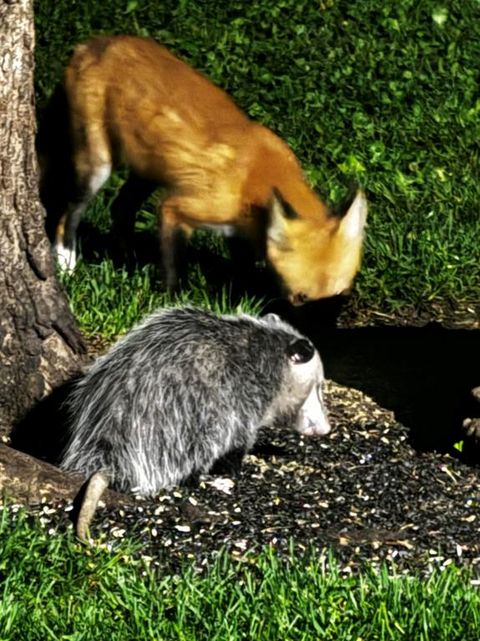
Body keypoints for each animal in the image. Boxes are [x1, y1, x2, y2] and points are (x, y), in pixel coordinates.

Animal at [40, 35, 368, 304]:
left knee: (120, 207)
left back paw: (126, 259)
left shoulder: (239, 233)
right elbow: (174, 269)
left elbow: (243, 271)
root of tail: (91, 44)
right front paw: (172, 302)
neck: (253, 179)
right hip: (96, 167)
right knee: (67, 215)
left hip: (147, 171)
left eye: (342, 295)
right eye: (301, 298)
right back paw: (67, 263)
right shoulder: (176, 209)